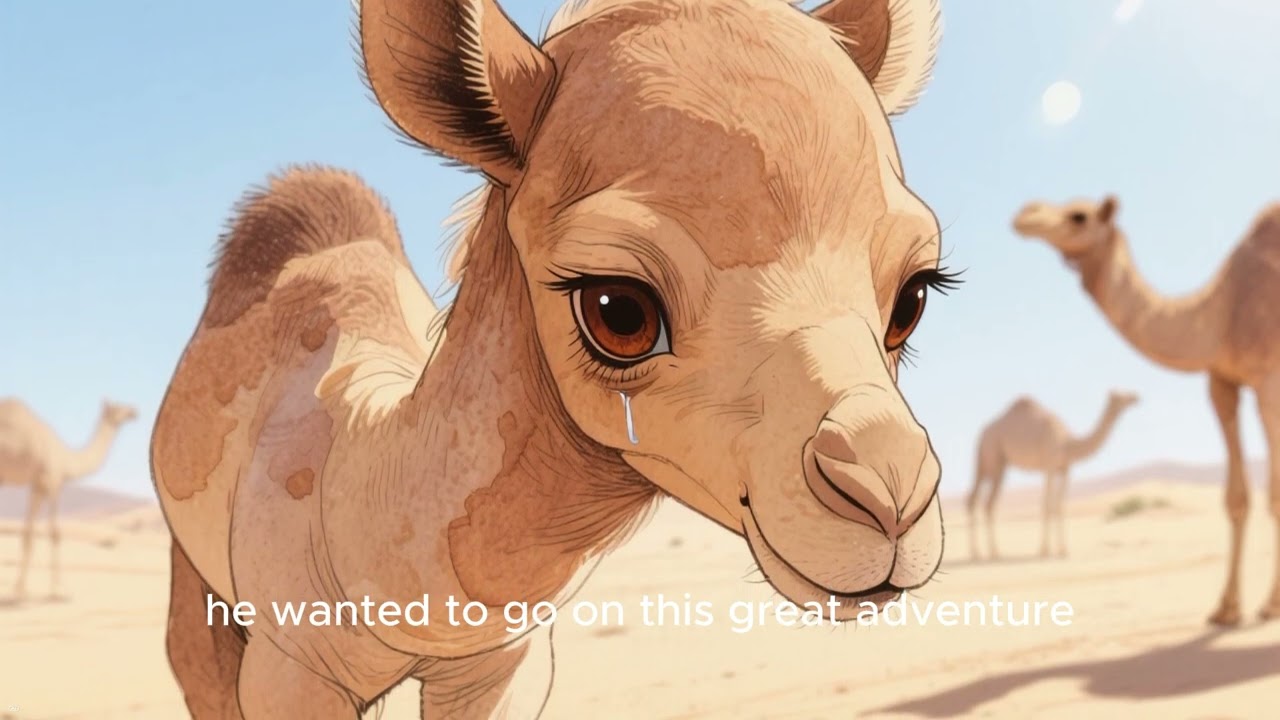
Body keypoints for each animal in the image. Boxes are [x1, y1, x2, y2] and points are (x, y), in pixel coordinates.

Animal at [0, 398, 137, 599]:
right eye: (117, 407)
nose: (135, 411)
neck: (66, 459)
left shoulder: (38, 485)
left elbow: (29, 533)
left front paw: (20, 590)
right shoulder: (52, 480)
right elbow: (55, 533)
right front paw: (59, 590)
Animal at [967, 391, 1138, 561]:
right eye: (1121, 396)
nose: (1136, 397)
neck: (1067, 444)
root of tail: (982, 434)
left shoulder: (1065, 470)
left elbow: (1060, 506)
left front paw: (1063, 550)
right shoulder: (1049, 467)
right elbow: (1047, 505)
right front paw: (1044, 551)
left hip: (997, 465)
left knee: (983, 502)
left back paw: (987, 553)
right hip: (991, 458)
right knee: (979, 500)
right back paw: (985, 553)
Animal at [1014, 195, 1280, 627]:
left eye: (1078, 215)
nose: (1026, 214)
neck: (1224, 312)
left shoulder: (1270, 379)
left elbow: (1274, 492)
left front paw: (1271, 605)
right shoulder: (1221, 382)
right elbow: (1236, 498)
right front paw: (1226, 609)